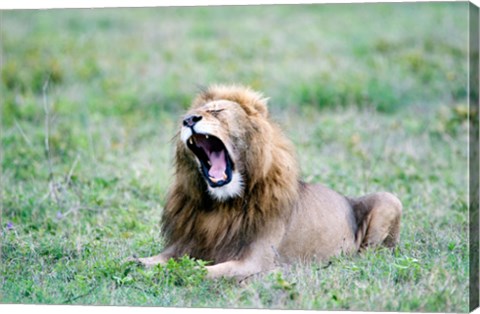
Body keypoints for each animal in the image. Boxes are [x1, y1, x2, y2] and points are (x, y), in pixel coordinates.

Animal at [133, 85, 404, 280]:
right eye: (186, 116)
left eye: (218, 111)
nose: (189, 120)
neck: (220, 206)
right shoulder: (183, 244)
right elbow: (152, 260)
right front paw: (136, 264)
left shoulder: (256, 261)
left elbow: (197, 270)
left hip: (389, 200)